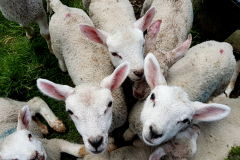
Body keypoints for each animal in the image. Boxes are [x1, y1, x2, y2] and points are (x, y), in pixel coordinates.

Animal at [35, 0, 129, 155]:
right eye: (70, 112)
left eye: (109, 104)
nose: (95, 142)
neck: (92, 79)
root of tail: (61, 8)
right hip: (56, 43)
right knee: (59, 57)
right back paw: (63, 67)